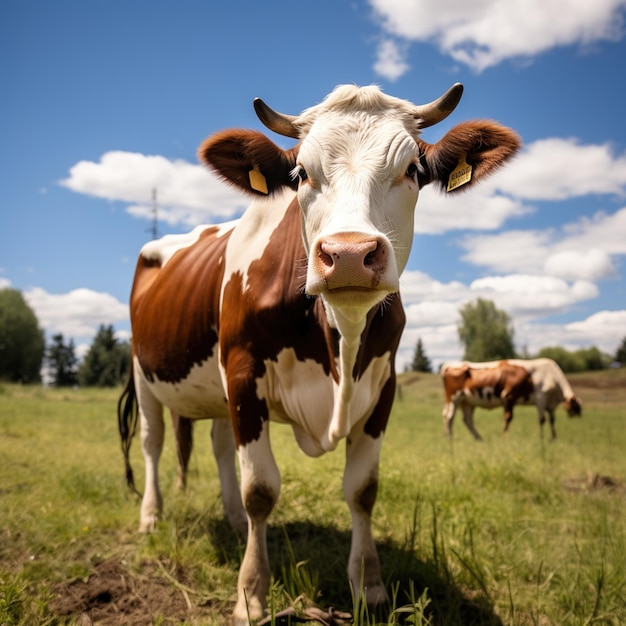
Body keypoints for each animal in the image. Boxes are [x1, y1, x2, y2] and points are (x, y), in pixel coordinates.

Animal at [117, 84, 516, 624]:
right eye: (301, 174)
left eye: (412, 170)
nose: (348, 254)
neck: (338, 343)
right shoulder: (243, 374)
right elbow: (261, 489)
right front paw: (251, 593)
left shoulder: (383, 386)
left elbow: (362, 490)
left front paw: (369, 585)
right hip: (146, 375)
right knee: (153, 444)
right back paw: (151, 518)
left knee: (220, 446)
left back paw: (232, 520)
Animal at [438, 356, 580, 438]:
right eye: (578, 408)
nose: (579, 417)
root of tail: (447, 365)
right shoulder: (520, 396)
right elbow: (538, 419)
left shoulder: (549, 404)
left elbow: (552, 420)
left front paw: (553, 438)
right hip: (454, 397)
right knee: (449, 417)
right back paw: (450, 438)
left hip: (467, 401)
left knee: (467, 420)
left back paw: (479, 439)